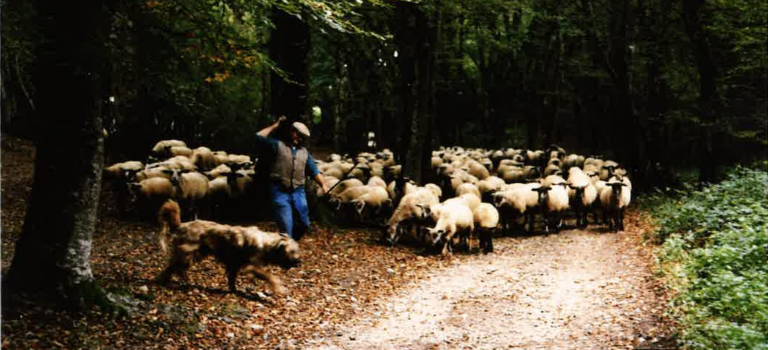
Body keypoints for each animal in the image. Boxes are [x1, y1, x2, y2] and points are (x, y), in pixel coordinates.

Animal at [156, 200, 300, 296]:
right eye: (292, 251)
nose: (299, 262)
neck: (267, 243)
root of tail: (182, 225)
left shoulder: (234, 264)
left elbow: (232, 278)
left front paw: (233, 290)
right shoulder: (250, 266)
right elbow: (270, 276)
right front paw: (279, 288)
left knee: (170, 268)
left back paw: (163, 281)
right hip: (189, 255)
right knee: (178, 269)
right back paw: (185, 283)